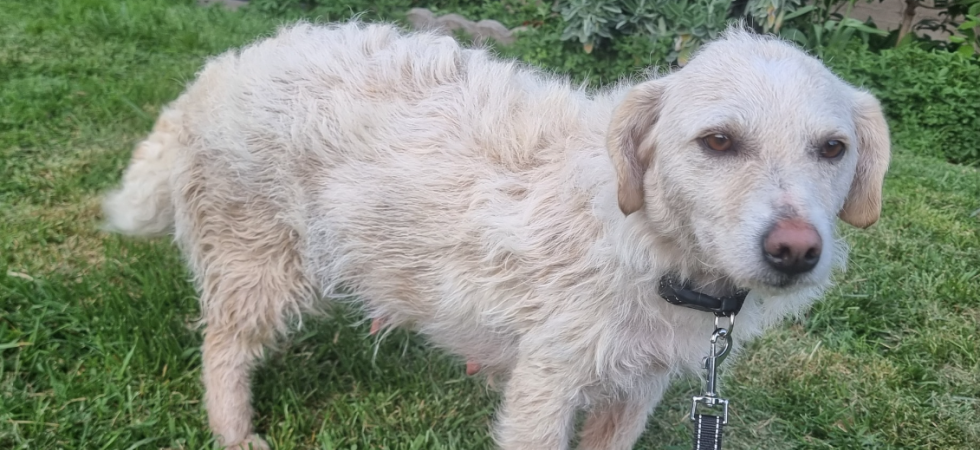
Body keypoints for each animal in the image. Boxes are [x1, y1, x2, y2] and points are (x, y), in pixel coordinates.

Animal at [102, 22, 889, 449]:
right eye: (719, 141)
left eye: (832, 149)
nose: (796, 250)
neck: (648, 239)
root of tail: (217, 74)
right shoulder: (548, 383)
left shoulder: (638, 386)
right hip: (260, 263)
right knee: (222, 348)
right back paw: (233, 430)